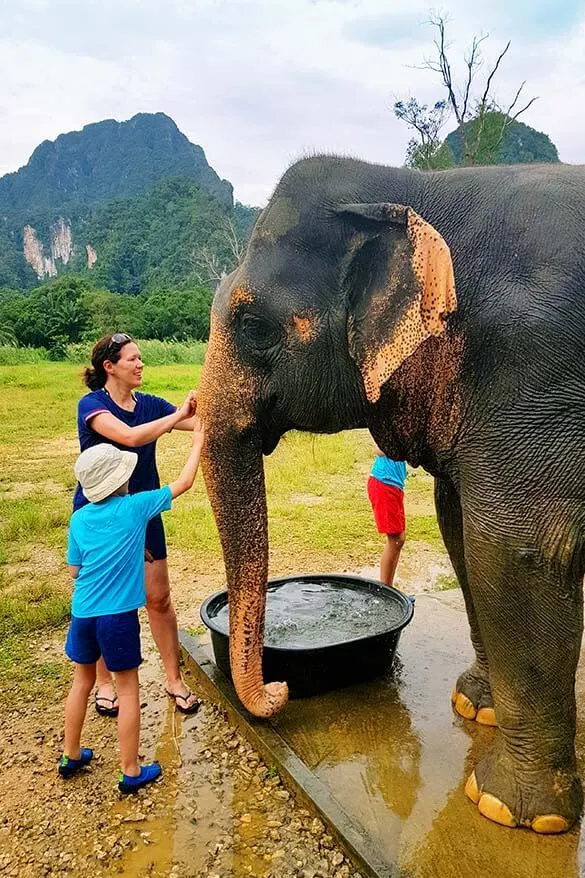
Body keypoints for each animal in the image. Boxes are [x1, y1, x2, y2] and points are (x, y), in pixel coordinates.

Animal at [196, 155, 584, 836]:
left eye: (251, 323)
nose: (279, 693)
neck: (413, 188)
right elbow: (458, 526)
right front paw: (474, 707)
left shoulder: (535, 367)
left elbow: (516, 546)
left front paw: (509, 811)